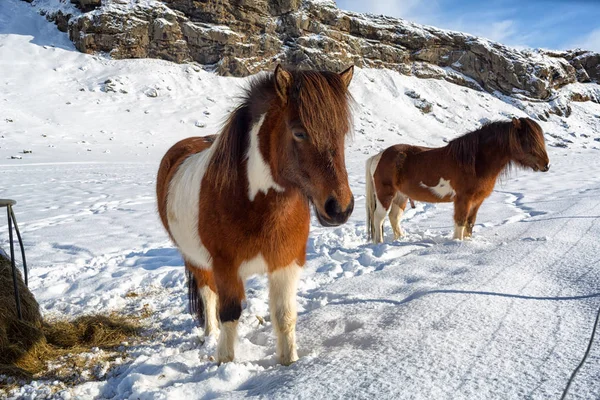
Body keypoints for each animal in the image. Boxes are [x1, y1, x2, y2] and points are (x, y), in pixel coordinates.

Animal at [156, 65, 356, 366]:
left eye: (342, 132)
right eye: (299, 133)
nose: (339, 208)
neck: (256, 206)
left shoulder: (286, 264)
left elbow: (285, 317)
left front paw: (290, 363)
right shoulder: (225, 267)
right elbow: (229, 315)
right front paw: (223, 364)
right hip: (196, 261)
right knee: (208, 296)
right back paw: (210, 336)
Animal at [366, 118, 548, 244]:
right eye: (528, 141)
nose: (546, 165)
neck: (476, 162)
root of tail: (379, 156)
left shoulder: (477, 200)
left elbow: (470, 223)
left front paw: (466, 242)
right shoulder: (463, 199)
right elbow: (460, 222)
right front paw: (457, 243)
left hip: (401, 196)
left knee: (394, 217)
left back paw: (399, 239)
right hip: (385, 195)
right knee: (379, 218)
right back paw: (379, 244)